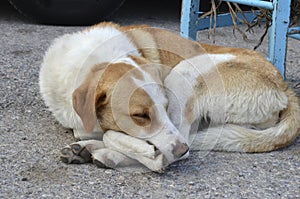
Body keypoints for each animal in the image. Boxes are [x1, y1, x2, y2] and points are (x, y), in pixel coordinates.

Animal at [39, 21, 300, 171]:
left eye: (163, 106)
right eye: (140, 115)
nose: (180, 149)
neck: (93, 63)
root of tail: (284, 87)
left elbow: (113, 135)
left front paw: (135, 151)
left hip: (183, 73)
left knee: (181, 144)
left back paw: (109, 154)